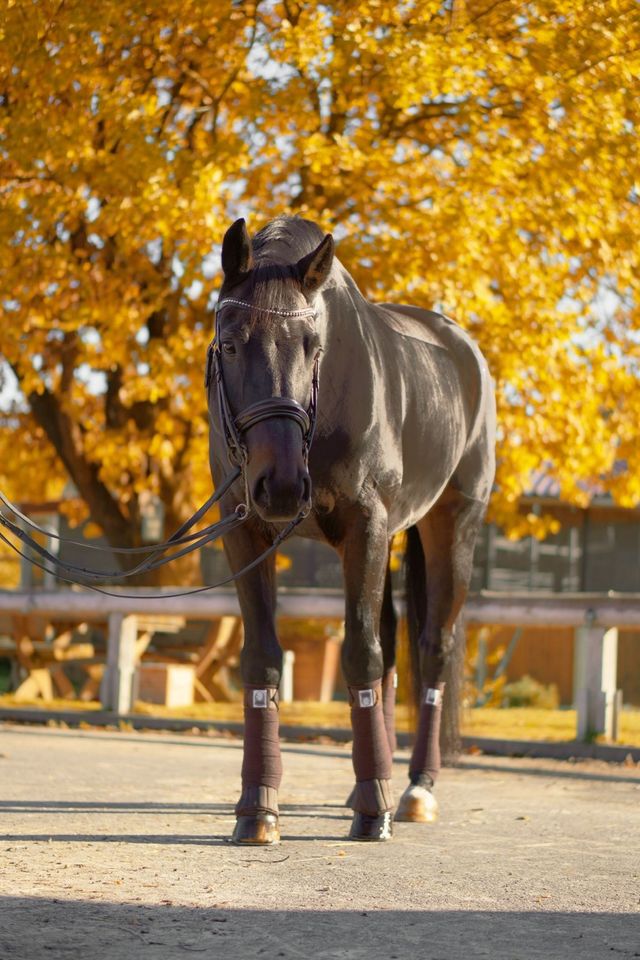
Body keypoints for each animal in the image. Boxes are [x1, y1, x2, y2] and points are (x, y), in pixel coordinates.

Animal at [208, 216, 498, 840]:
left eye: (312, 346)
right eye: (230, 342)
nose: (282, 485)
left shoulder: (366, 525)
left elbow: (360, 654)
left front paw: (373, 809)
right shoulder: (244, 532)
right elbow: (263, 655)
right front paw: (258, 806)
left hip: (452, 525)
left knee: (432, 647)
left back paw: (413, 788)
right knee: (390, 645)